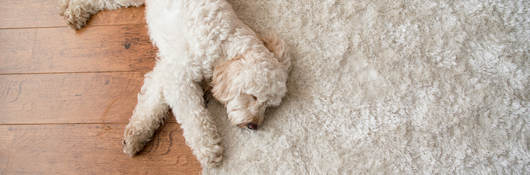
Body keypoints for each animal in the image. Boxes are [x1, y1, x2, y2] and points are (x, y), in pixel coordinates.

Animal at [60, 0, 290, 167]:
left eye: (268, 106)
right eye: (253, 96)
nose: (254, 126)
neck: (224, 43)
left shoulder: (166, 71)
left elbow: (151, 104)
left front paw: (136, 136)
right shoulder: (180, 77)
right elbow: (195, 117)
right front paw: (209, 149)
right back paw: (74, 12)